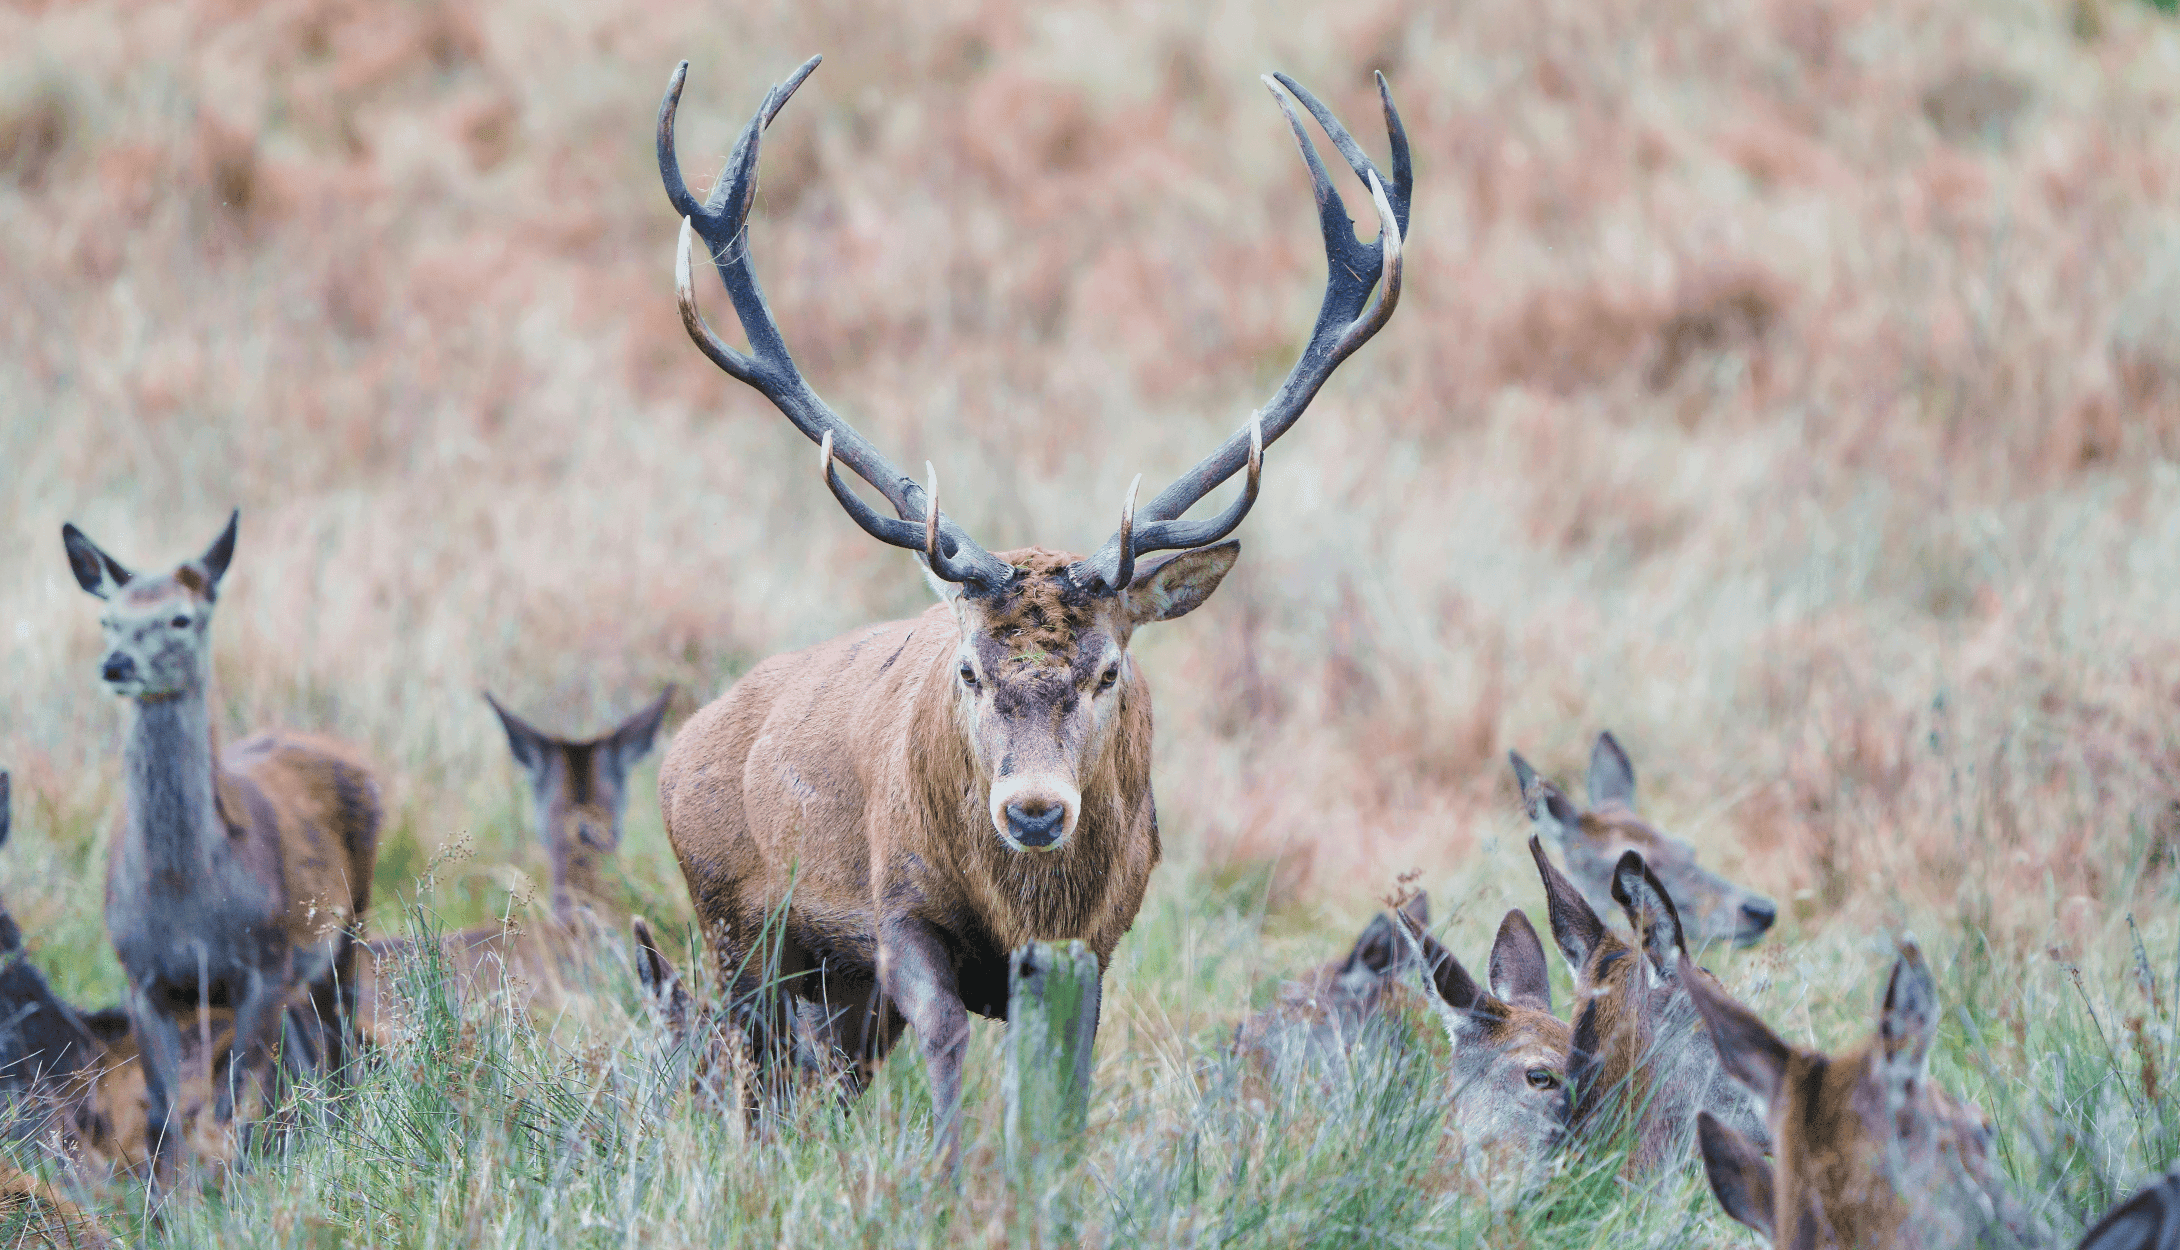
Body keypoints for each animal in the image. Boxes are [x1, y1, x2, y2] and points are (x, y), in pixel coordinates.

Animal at [61, 511, 381, 1180]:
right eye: (108, 619)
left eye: (181, 618)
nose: (117, 664)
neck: (186, 898)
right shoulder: (142, 978)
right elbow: (162, 1117)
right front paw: (169, 1201)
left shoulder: (262, 962)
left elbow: (234, 1104)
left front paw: (236, 1189)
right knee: (309, 1052)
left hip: (349, 921)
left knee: (339, 1043)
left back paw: (339, 1134)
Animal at [652, 54, 1407, 1159]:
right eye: (968, 669)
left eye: (1109, 670)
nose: (1035, 809)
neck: (1021, 909)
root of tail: (684, 741)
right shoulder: (899, 907)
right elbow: (950, 1053)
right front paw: (949, 1175)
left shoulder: (1093, 942)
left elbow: (1063, 1095)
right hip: (732, 924)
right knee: (750, 1073)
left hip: (832, 991)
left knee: (817, 1081)